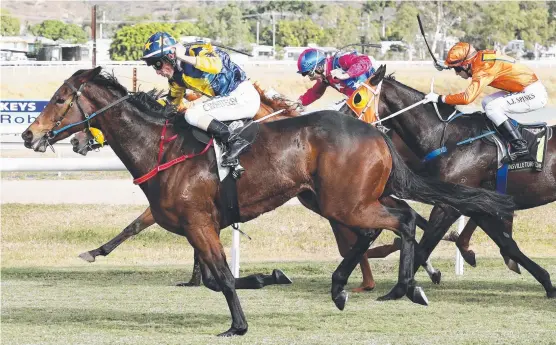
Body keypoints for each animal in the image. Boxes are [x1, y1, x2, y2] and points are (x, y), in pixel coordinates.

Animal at [22, 66, 516, 334]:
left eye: (61, 98)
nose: (28, 135)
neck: (162, 149)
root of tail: (375, 131)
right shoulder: (201, 226)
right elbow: (212, 278)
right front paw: (268, 278)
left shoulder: (200, 223)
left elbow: (221, 278)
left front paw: (238, 324)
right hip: (335, 200)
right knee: (384, 227)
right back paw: (356, 286)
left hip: (346, 202)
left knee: (403, 220)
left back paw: (402, 287)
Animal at [360, 64, 556, 296]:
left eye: (356, 98)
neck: (449, 138)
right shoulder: (474, 202)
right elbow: (507, 245)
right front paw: (546, 282)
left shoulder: (448, 205)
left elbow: (423, 248)